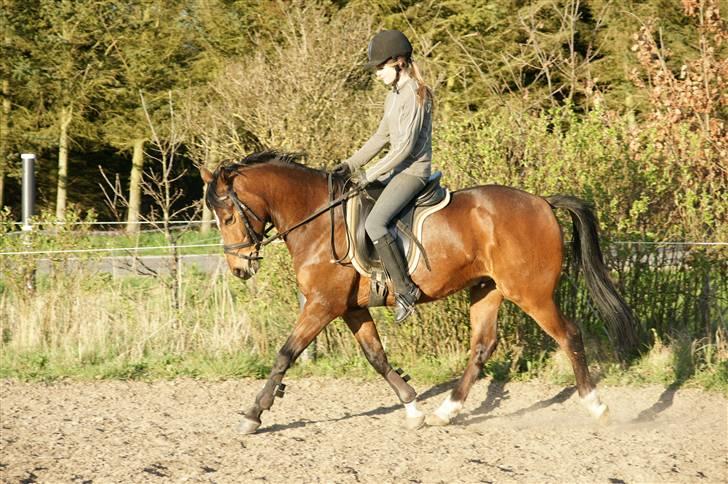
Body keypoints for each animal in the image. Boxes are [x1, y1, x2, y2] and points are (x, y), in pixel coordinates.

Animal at [200, 150, 640, 434]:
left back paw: (596, 406)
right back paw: (448, 411)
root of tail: (542, 203)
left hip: (530, 293)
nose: (239, 269)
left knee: (569, 335)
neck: (319, 221)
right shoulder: (350, 308)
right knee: (483, 346)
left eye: (227, 216)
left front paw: (253, 414)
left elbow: (285, 355)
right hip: (487, 290)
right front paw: (413, 407)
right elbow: (376, 357)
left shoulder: (322, 306)